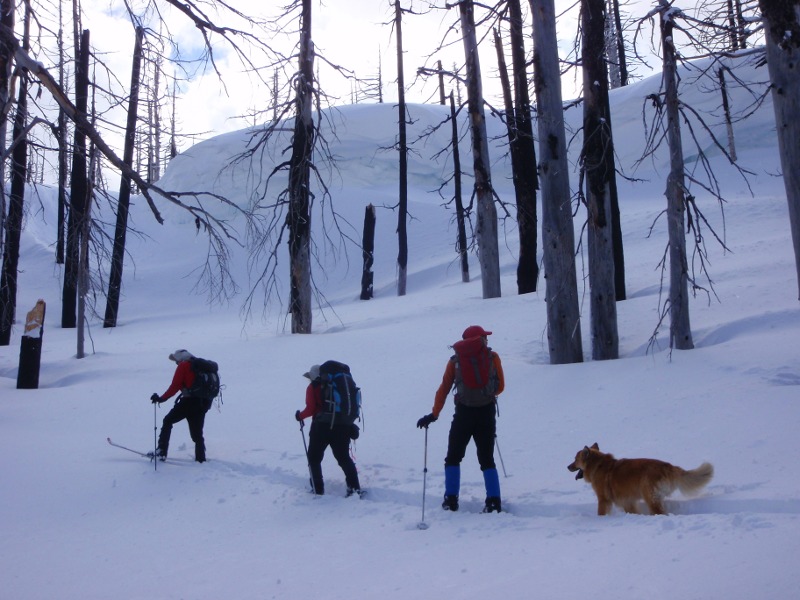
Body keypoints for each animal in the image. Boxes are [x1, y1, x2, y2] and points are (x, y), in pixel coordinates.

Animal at [568, 440, 712, 516]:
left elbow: (601, 512)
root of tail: (668, 466)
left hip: (650, 496)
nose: (567, 466)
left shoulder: (604, 499)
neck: (597, 465)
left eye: (575, 459)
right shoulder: (628, 501)